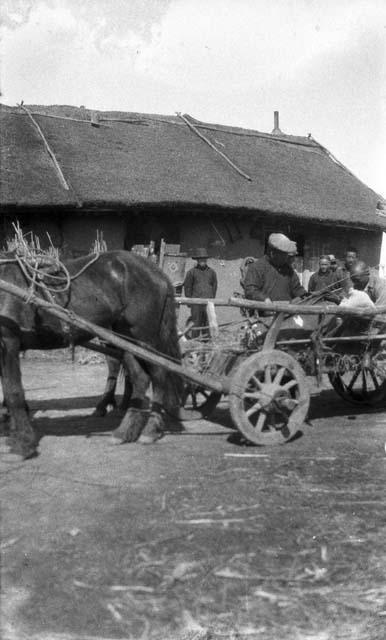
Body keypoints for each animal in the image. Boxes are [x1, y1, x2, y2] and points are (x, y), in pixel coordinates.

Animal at [0, 251, 182, 460]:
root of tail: (157, 271)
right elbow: (8, 391)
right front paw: (14, 435)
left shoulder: (9, 342)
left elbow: (13, 393)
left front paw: (23, 444)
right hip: (125, 338)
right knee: (140, 378)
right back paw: (124, 432)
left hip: (146, 339)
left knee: (159, 375)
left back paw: (150, 430)